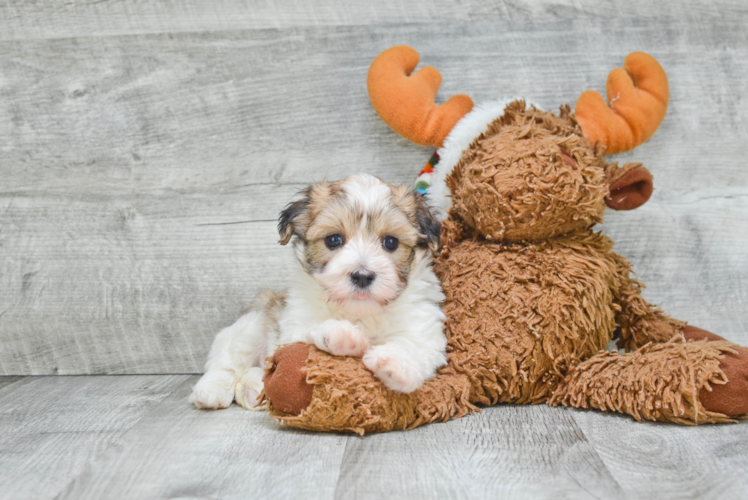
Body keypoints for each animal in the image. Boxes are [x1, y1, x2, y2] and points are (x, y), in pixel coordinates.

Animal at [191, 173, 444, 410]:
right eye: (333, 240)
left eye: (391, 242)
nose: (362, 276)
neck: (359, 312)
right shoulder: (294, 324)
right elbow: (305, 337)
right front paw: (341, 334)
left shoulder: (424, 329)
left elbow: (416, 346)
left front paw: (395, 363)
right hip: (253, 322)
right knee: (227, 360)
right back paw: (211, 390)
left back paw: (253, 387)